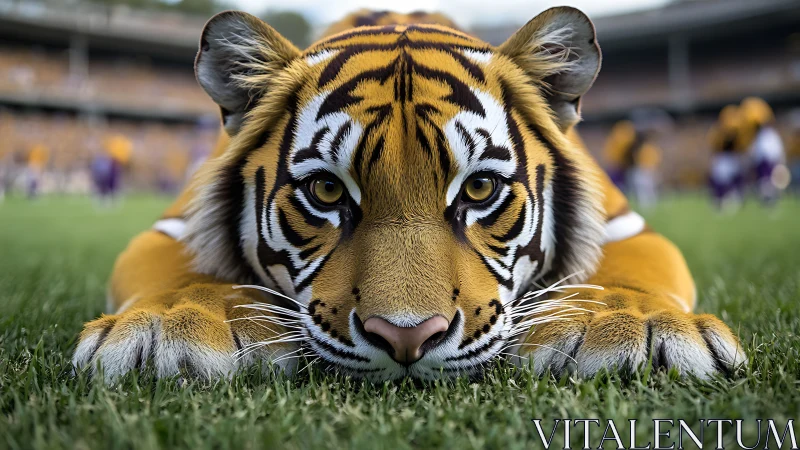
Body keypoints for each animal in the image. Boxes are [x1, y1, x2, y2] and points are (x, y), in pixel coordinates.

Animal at [73, 7, 747, 382]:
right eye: (325, 190)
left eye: (479, 188)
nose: (405, 338)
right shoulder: (169, 230)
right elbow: (181, 277)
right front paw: (178, 324)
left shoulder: (629, 227)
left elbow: (626, 279)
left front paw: (630, 325)